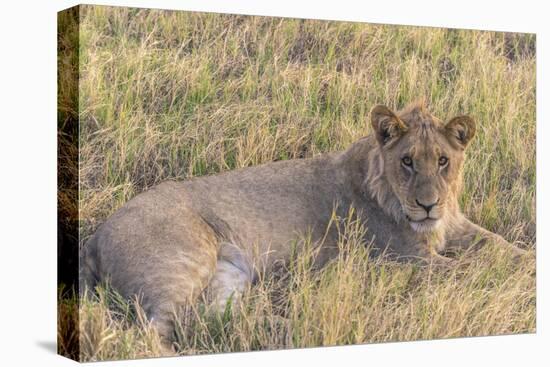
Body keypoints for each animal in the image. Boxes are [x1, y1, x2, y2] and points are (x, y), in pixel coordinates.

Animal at [80, 101, 528, 348]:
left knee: (211, 318)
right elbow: (471, 271)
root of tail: (95, 235)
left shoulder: (457, 227)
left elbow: (502, 248)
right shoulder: (407, 259)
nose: (428, 205)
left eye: (443, 160)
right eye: (407, 161)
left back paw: (287, 327)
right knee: (154, 329)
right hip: (182, 260)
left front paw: (527, 262)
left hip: (228, 273)